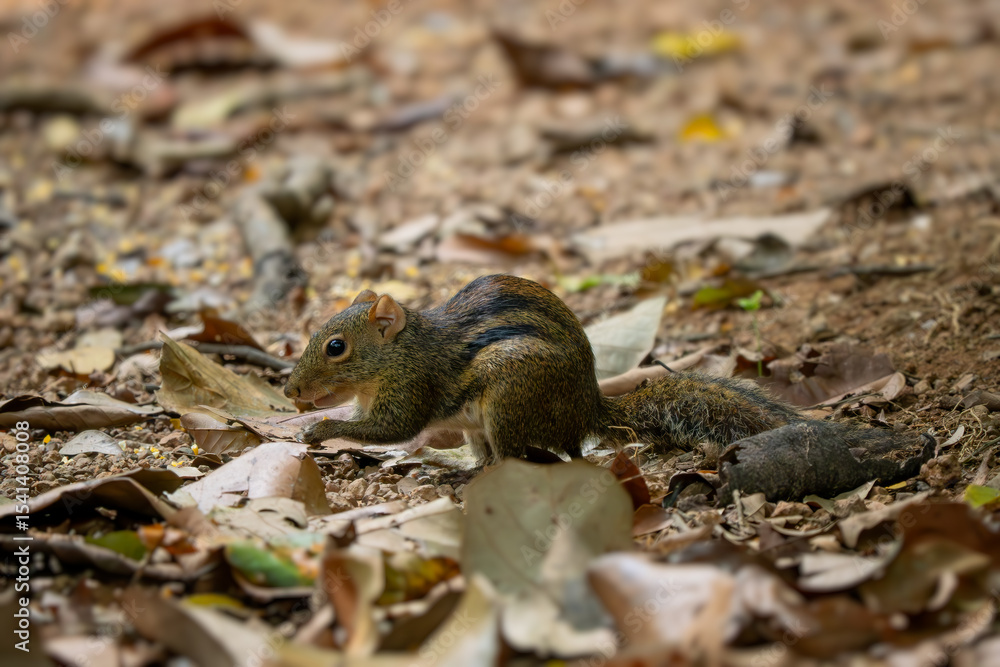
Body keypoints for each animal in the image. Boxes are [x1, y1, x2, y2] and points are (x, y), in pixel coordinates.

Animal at [284, 274, 804, 463]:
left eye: (335, 347)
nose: (290, 392)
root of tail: (585, 412)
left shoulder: (412, 388)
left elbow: (391, 429)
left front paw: (320, 429)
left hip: (509, 397)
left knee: (524, 458)